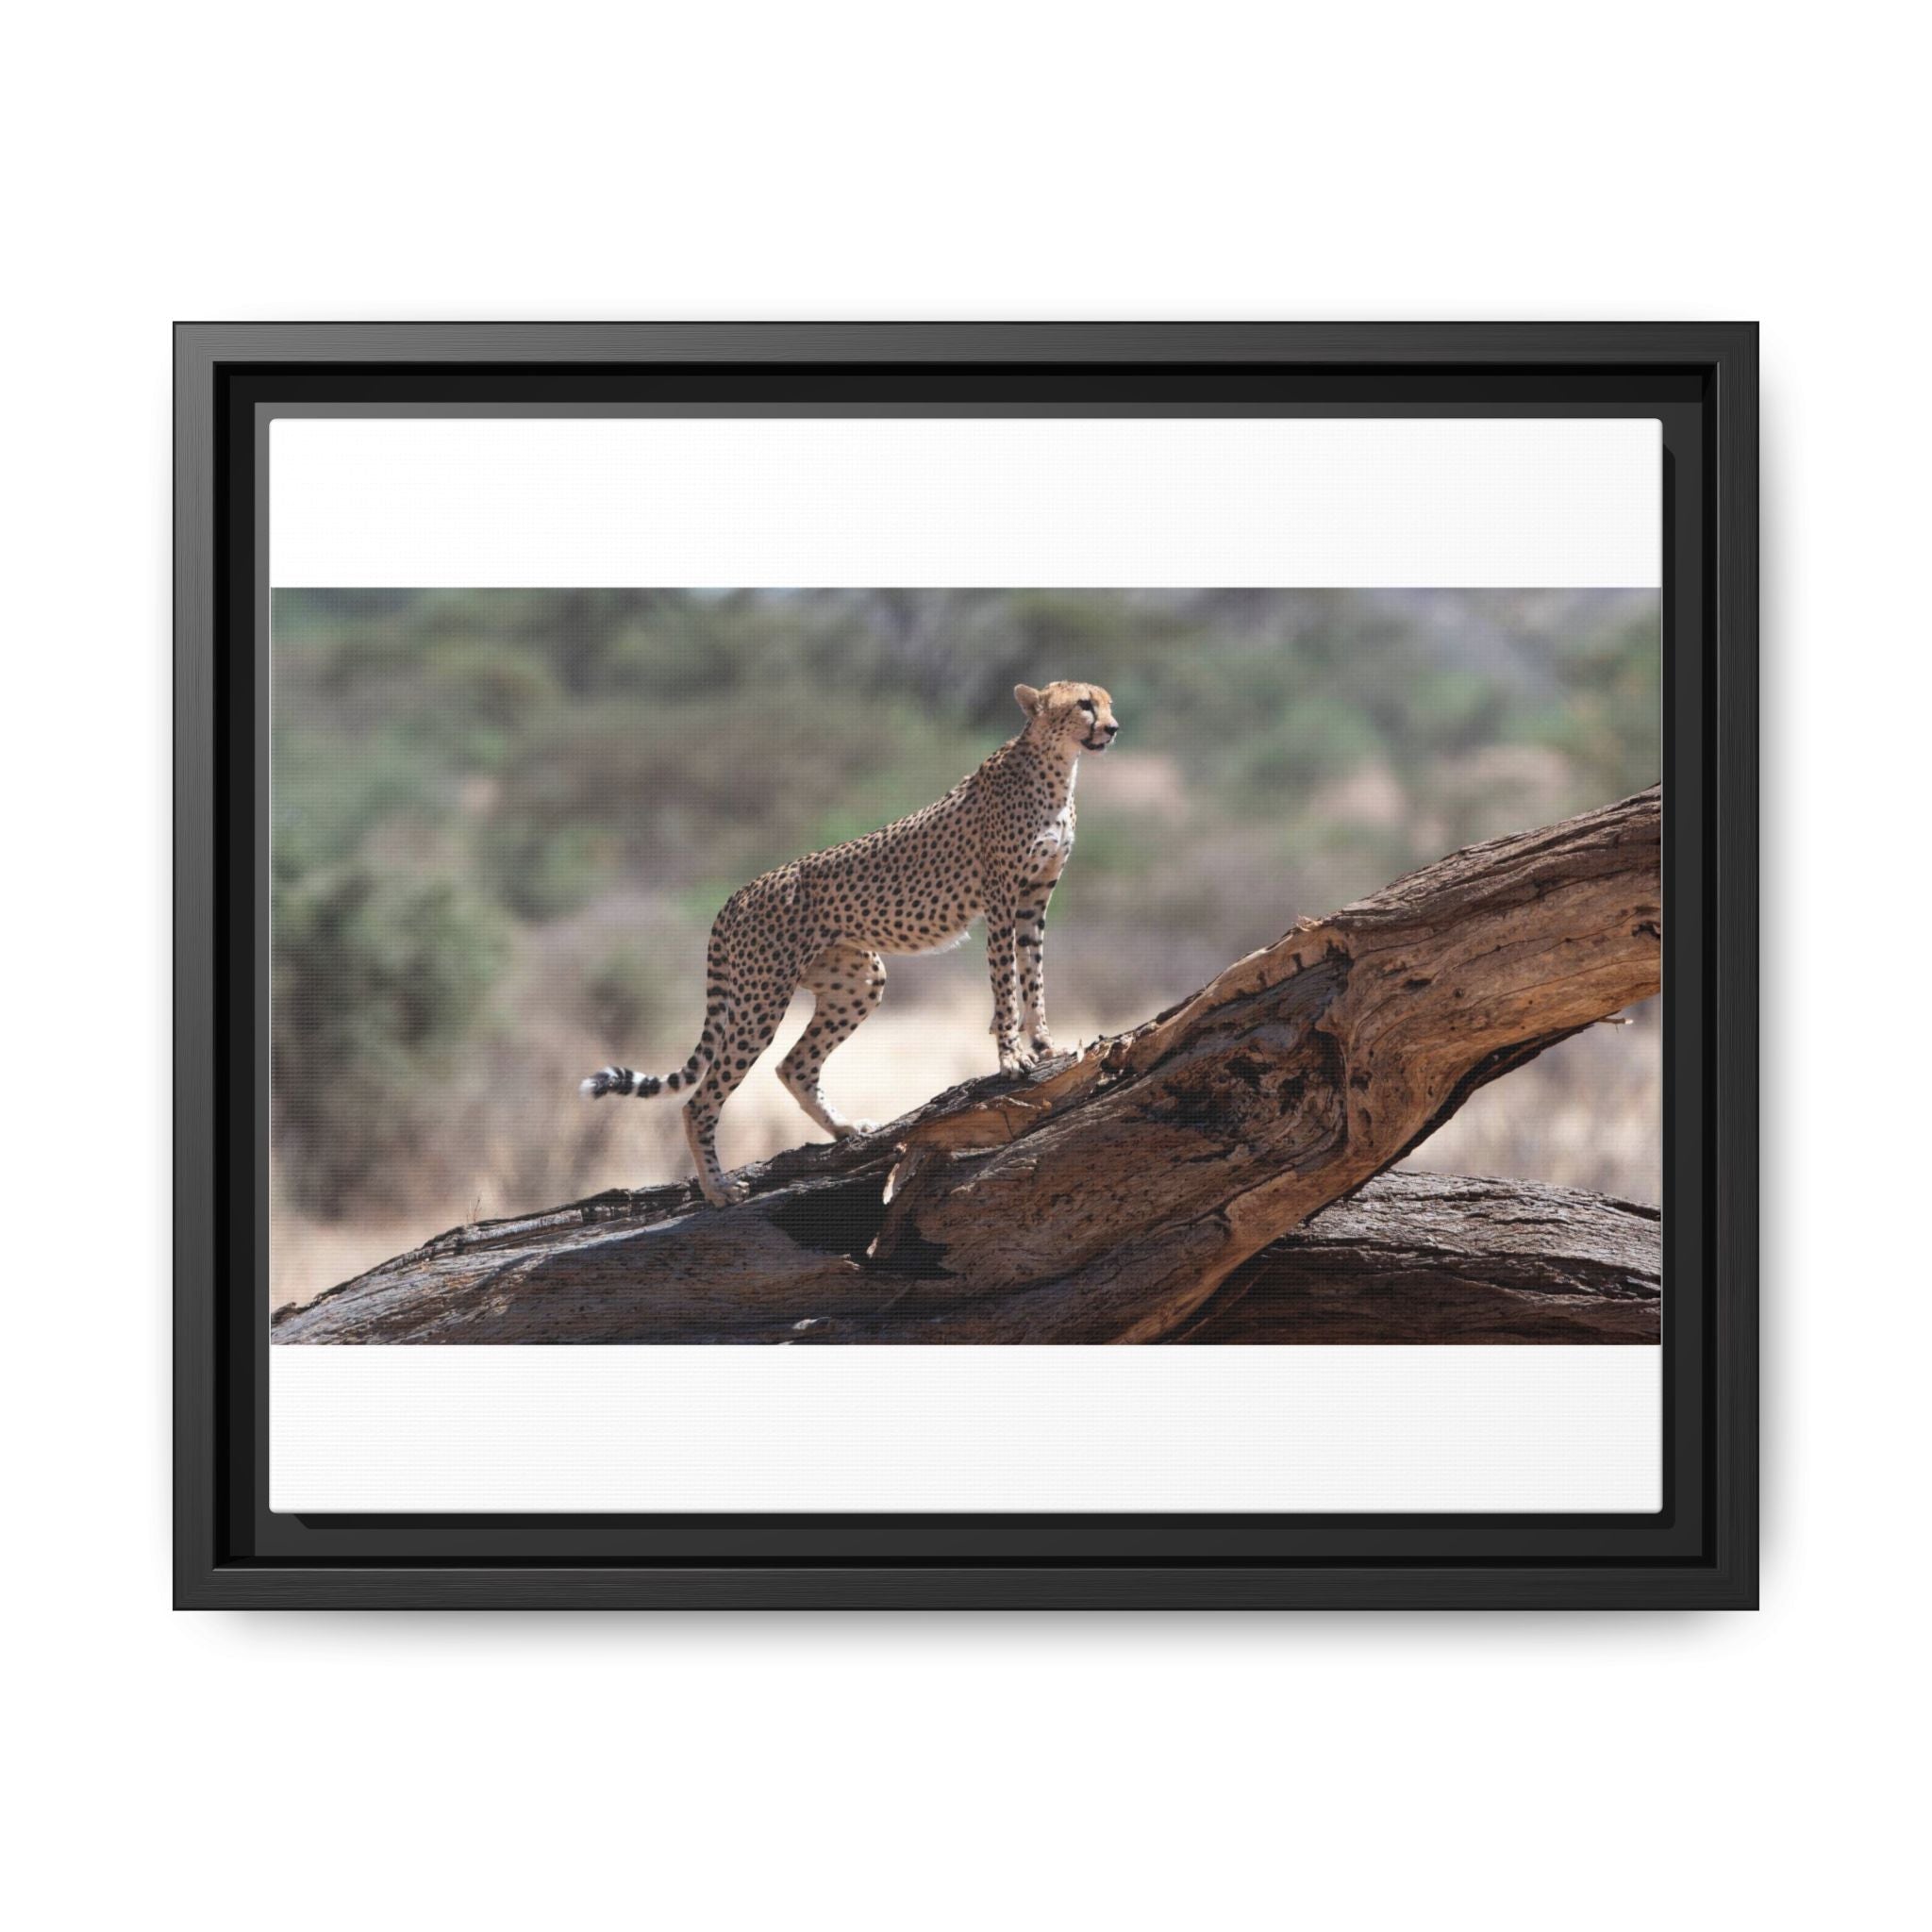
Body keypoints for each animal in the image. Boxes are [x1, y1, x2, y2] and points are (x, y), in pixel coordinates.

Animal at [581, 679, 1120, 1205]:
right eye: (1084, 705)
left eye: (1107, 702)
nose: (1113, 728)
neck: (1057, 767)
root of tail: (739, 893)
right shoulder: (1002, 900)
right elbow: (1005, 984)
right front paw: (1011, 1057)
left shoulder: (1034, 901)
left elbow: (1033, 975)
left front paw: (1045, 1043)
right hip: (761, 997)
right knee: (701, 1099)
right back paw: (718, 1189)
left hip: (858, 979)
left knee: (793, 1065)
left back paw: (844, 1129)